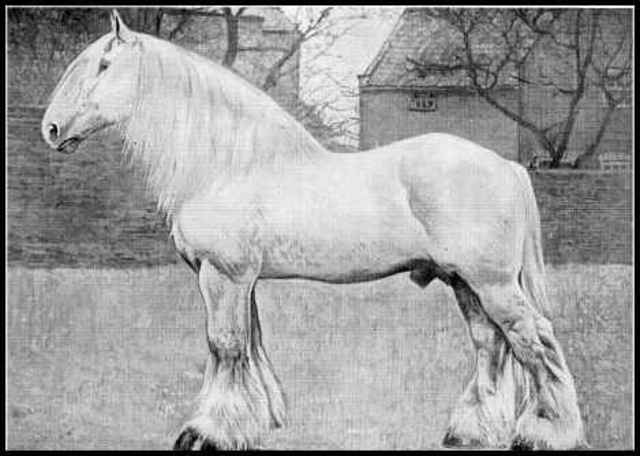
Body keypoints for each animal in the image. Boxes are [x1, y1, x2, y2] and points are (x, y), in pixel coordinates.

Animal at [42, 10, 586, 451]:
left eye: (104, 66)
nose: (50, 129)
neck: (228, 165)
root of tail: (505, 166)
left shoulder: (223, 276)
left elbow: (225, 346)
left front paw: (206, 432)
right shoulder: (239, 282)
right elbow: (247, 347)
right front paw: (251, 423)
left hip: (491, 283)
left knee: (534, 340)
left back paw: (547, 433)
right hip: (463, 283)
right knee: (491, 343)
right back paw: (470, 431)